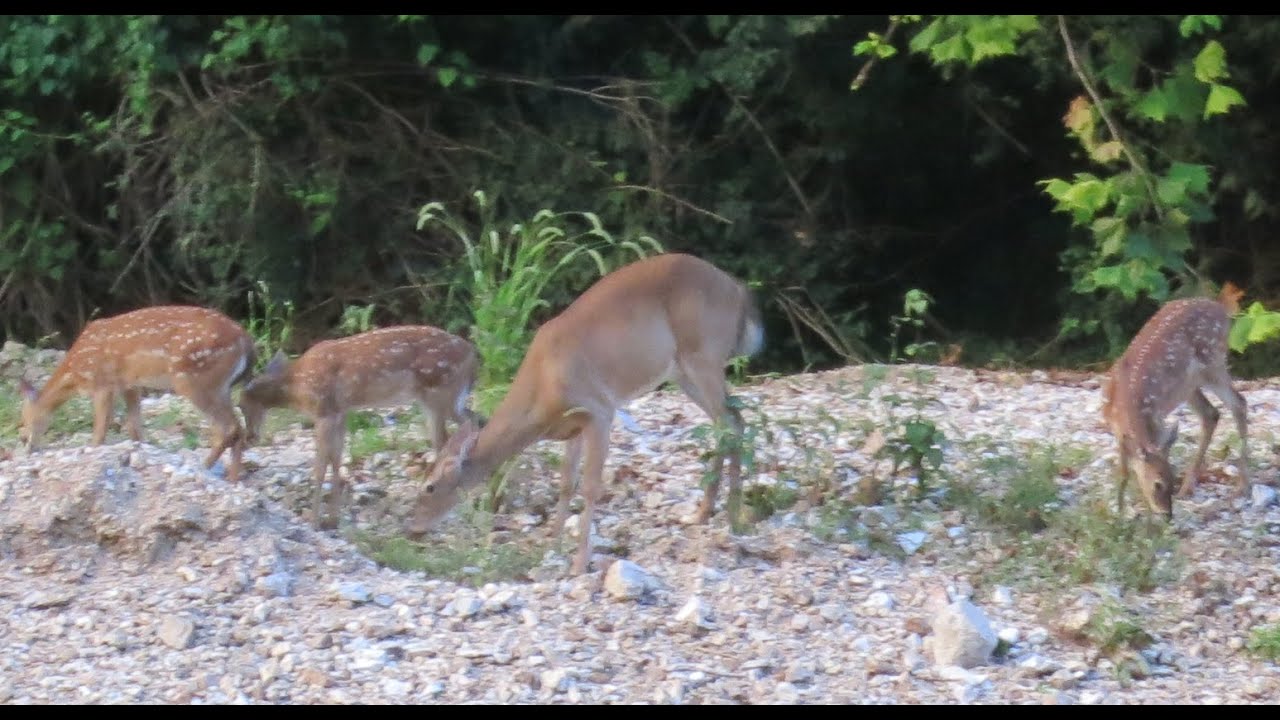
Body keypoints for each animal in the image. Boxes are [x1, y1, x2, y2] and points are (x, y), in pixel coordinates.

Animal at [18, 305, 256, 481]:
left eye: (24, 421)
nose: (25, 443)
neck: (75, 373)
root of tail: (245, 340)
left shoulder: (103, 383)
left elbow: (100, 432)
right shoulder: (130, 385)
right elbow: (135, 430)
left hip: (193, 378)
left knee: (229, 427)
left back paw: (204, 468)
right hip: (220, 386)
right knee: (235, 428)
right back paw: (231, 478)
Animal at [237, 325, 481, 529]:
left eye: (241, 405)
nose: (250, 436)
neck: (297, 386)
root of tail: (472, 355)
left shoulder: (324, 412)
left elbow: (320, 466)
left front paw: (314, 521)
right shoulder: (340, 413)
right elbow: (336, 460)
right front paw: (332, 520)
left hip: (440, 395)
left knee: (450, 439)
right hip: (446, 400)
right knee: (473, 423)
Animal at [405, 252, 765, 575]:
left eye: (430, 487)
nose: (412, 528)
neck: (543, 385)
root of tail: (737, 290)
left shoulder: (599, 411)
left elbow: (591, 486)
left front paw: (579, 564)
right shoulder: (573, 426)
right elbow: (566, 483)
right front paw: (552, 545)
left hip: (703, 355)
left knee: (730, 423)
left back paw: (733, 518)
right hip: (682, 371)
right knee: (731, 420)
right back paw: (707, 513)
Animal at [1102, 282, 1250, 520]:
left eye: (1172, 480)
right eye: (1158, 484)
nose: (1167, 515)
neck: (1127, 406)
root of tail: (1220, 307)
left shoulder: (1157, 421)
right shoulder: (1115, 427)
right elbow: (1124, 470)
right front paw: (1120, 510)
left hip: (1213, 362)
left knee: (1238, 403)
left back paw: (1242, 486)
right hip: (1188, 385)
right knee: (1212, 413)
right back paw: (1191, 486)